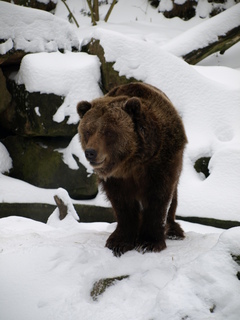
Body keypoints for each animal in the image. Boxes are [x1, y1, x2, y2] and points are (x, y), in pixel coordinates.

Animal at [77, 83, 188, 258]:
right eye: (87, 131)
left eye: (109, 132)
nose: (90, 152)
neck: (131, 162)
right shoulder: (116, 179)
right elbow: (122, 204)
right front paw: (119, 242)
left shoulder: (161, 162)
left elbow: (159, 198)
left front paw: (149, 243)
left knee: (173, 197)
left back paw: (174, 231)